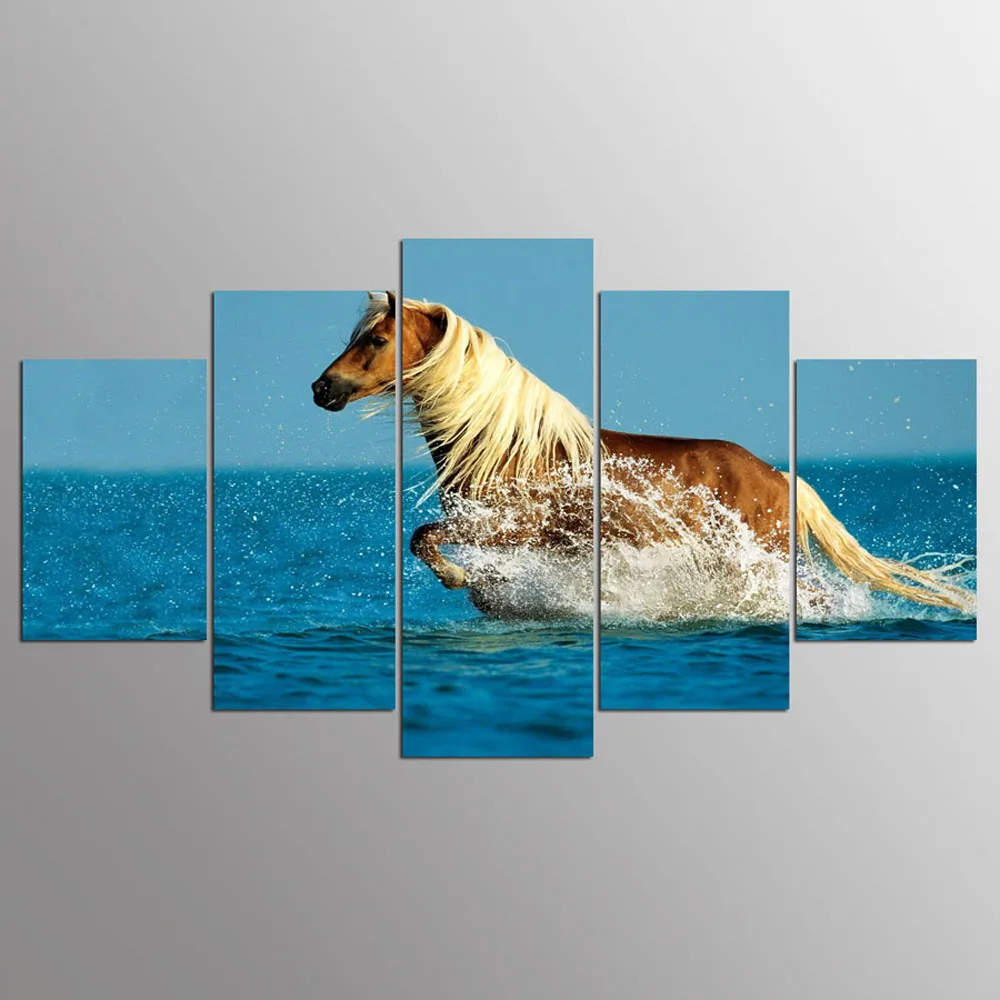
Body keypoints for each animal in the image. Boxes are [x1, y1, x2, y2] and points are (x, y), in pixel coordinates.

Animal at [312, 291, 973, 614]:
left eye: (377, 340)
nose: (322, 389)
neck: (507, 447)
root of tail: (781, 477)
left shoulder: (510, 527)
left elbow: (423, 538)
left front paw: (456, 579)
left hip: (759, 559)